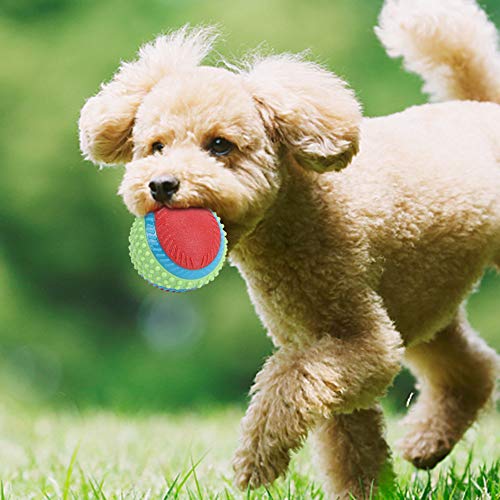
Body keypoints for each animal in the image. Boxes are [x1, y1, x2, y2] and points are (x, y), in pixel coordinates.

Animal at [79, 0, 500, 496]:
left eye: (219, 145)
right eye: (156, 146)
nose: (162, 185)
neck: (298, 216)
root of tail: (482, 107)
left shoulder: (357, 340)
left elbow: (290, 383)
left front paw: (255, 463)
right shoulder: (320, 340)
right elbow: (349, 440)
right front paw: (363, 491)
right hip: (423, 301)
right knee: (471, 368)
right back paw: (427, 443)